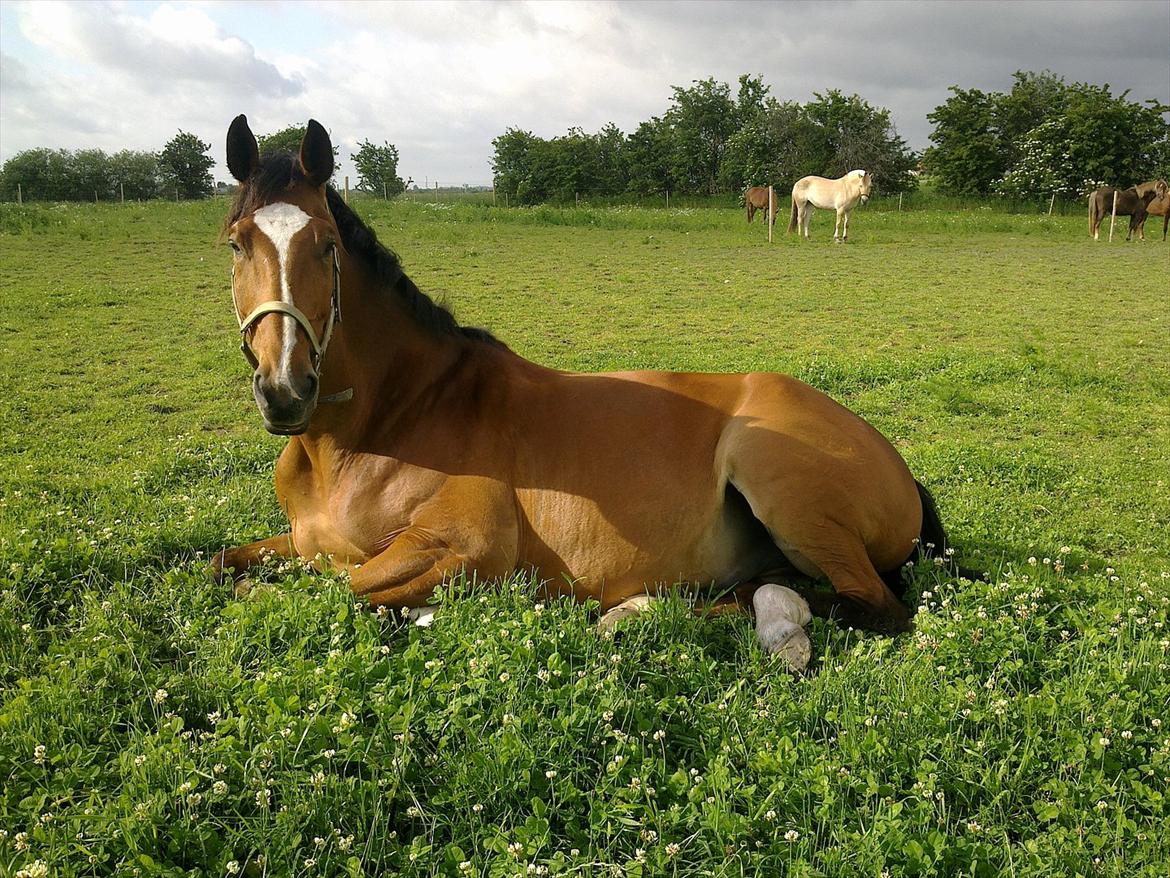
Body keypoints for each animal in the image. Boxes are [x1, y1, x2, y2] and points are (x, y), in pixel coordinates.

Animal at [215, 115, 973, 664]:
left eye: (326, 246)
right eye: (236, 242)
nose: (285, 390)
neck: (386, 428)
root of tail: (895, 464)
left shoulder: (465, 547)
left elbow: (335, 587)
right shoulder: (301, 540)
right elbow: (227, 563)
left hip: (783, 485)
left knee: (869, 604)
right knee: (774, 586)